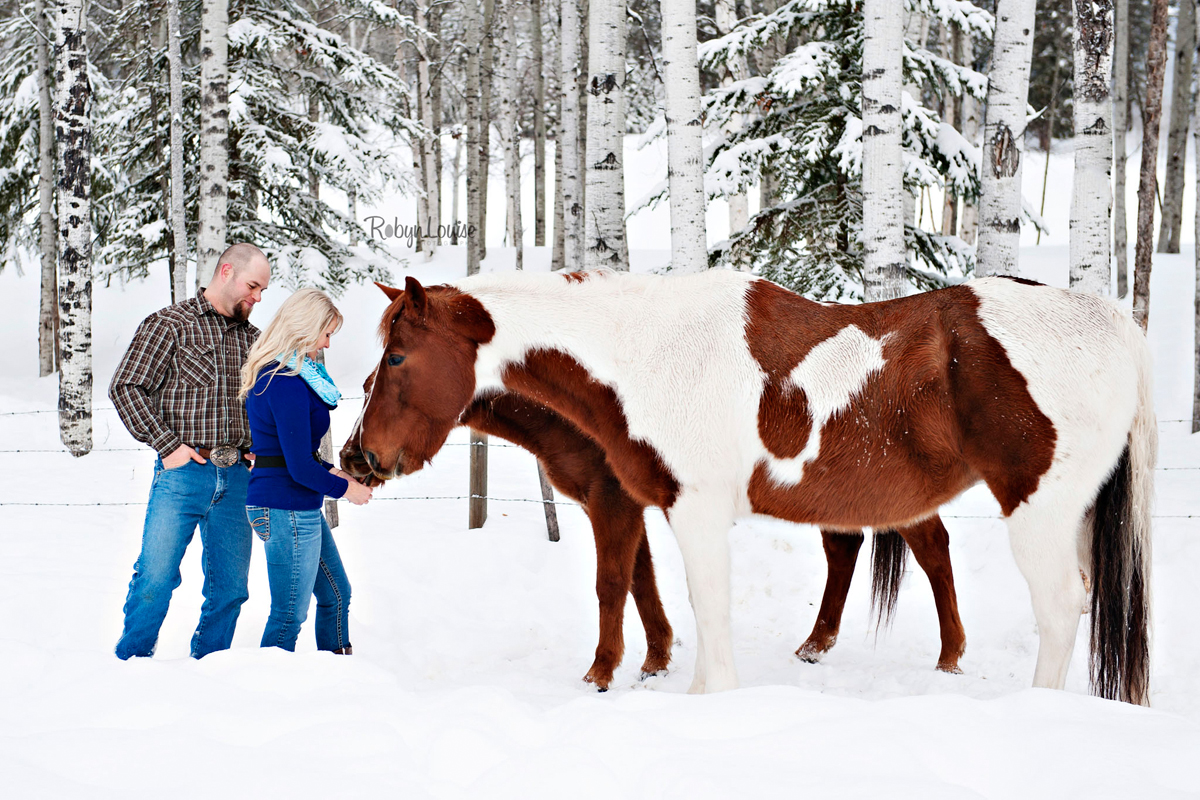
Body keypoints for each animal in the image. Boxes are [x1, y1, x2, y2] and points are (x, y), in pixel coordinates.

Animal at [338, 367, 964, 690]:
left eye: (377, 385)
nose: (350, 458)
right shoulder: (624, 504)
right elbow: (641, 581)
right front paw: (655, 657)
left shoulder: (612, 501)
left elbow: (612, 584)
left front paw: (601, 671)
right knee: (844, 547)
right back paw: (815, 644)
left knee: (932, 550)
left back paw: (949, 655)